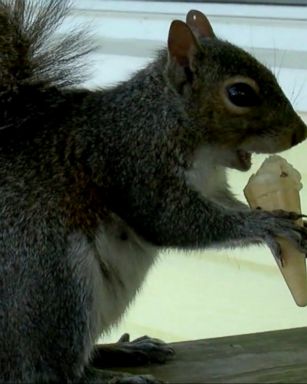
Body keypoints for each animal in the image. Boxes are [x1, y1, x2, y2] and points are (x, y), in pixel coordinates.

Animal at [1, 0, 307, 384]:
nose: (300, 133)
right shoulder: (137, 164)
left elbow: (223, 206)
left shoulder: (210, 185)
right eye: (240, 93)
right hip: (51, 286)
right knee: (49, 372)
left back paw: (124, 350)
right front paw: (266, 226)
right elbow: (172, 221)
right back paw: (113, 377)